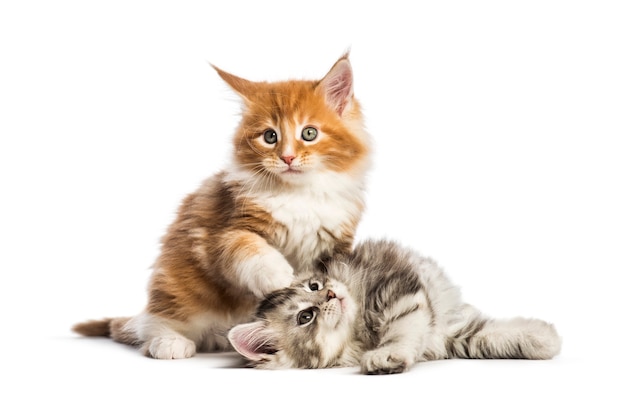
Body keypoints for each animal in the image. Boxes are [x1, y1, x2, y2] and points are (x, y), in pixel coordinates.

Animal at [72, 52, 370, 358]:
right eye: (270, 136)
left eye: (309, 133)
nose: (286, 158)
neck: (300, 194)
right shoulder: (226, 230)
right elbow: (250, 248)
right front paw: (279, 276)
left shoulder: (336, 239)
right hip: (177, 283)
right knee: (154, 321)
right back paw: (169, 342)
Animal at [228, 239, 560, 374]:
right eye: (305, 316)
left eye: (314, 287)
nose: (331, 295)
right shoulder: (418, 312)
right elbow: (482, 339)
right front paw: (388, 357)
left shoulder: (402, 294)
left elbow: (493, 335)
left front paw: (543, 338)